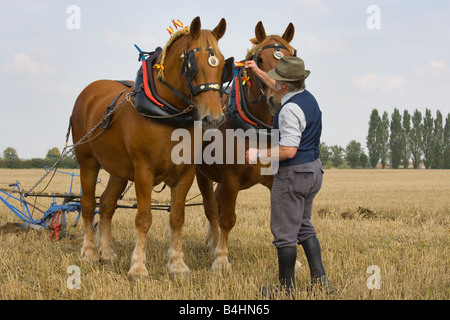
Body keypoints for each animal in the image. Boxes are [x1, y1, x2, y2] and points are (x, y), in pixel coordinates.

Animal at [72, 16, 230, 278]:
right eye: (192, 65)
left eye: (221, 64)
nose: (214, 118)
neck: (168, 114)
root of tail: (89, 92)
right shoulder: (143, 172)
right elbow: (143, 218)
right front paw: (138, 267)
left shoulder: (185, 173)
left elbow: (177, 217)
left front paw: (177, 265)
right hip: (87, 161)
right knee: (87, 204)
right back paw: (90, 252)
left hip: (118, 170)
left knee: (106, 204)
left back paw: (107, 252)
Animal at [196, 20, 296, 270]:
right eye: (259, 59)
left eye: (292, 55)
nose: (278, 99)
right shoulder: (231, 178)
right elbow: (227, 218)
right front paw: (221, 259)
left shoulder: (274, 180)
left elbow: (282, 219)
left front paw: (295, 262)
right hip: (201, 173)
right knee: (211, 207)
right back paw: (213, 244)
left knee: (216, 201)